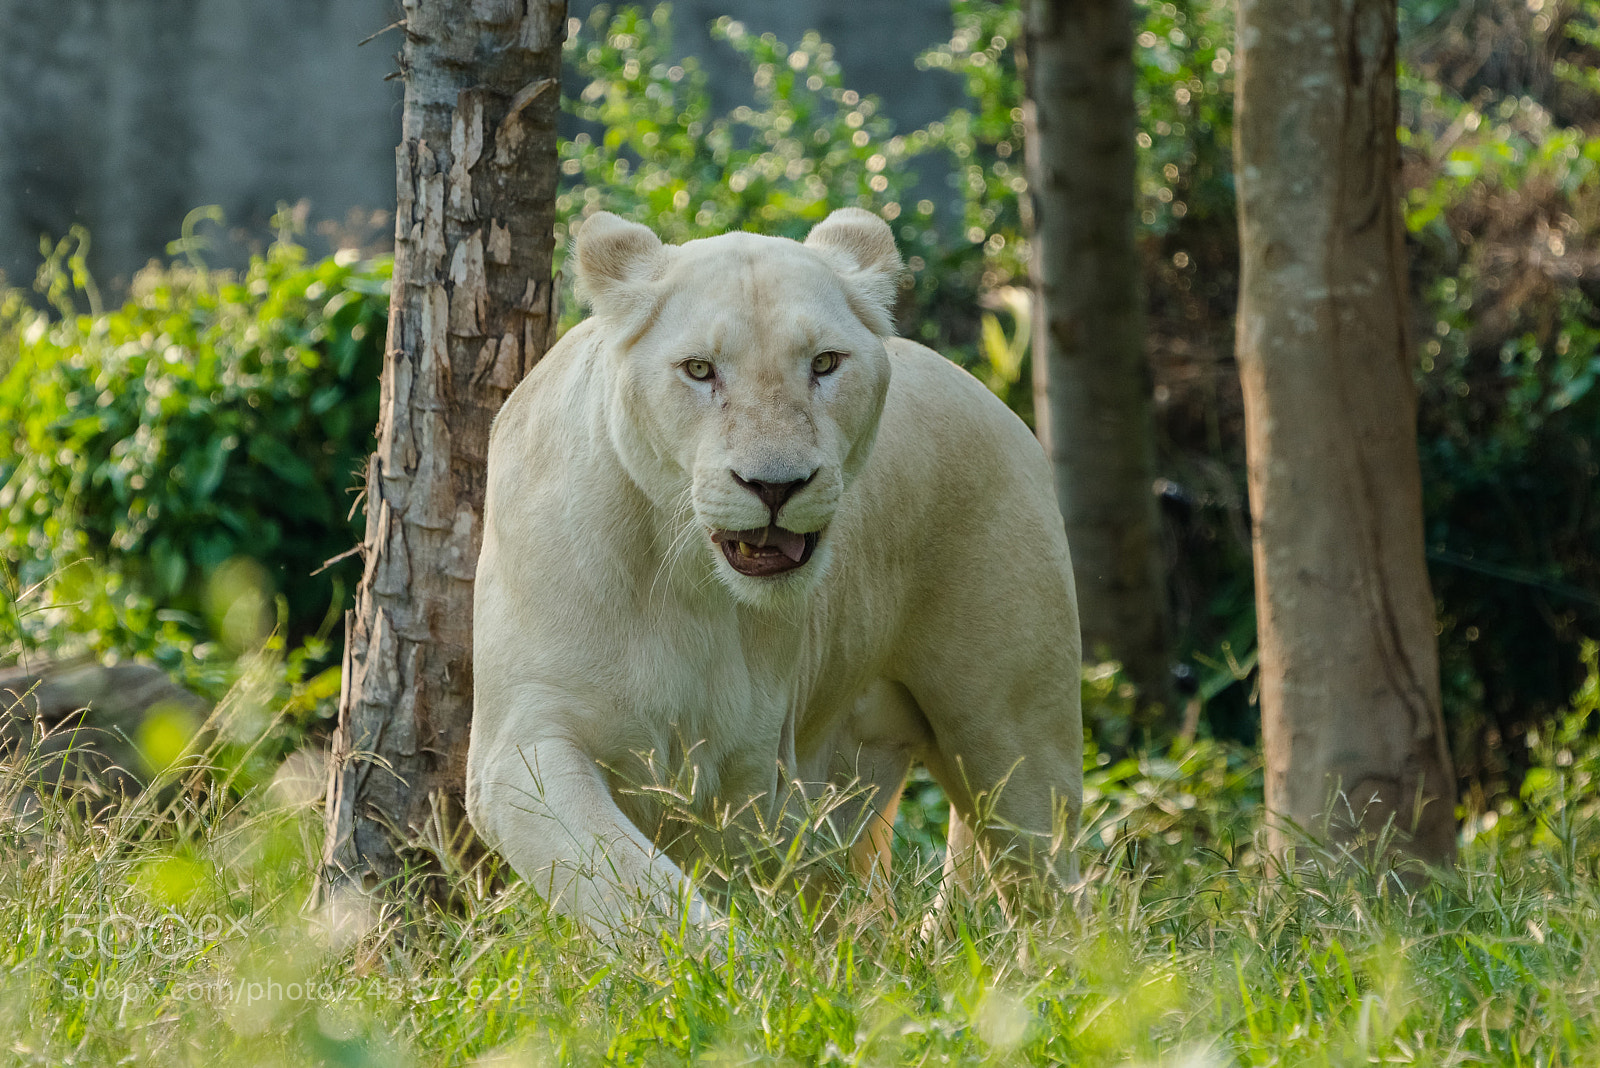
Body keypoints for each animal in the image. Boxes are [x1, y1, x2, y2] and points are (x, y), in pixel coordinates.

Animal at [466, 208, 1082, 934]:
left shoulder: (755, 769)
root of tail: (999, 404)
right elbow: (631, 885)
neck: (688, 585)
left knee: (1048, 881)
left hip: (1014, 740)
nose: (776, 486)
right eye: (699, 369)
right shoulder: (524, 744)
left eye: (824, 363)